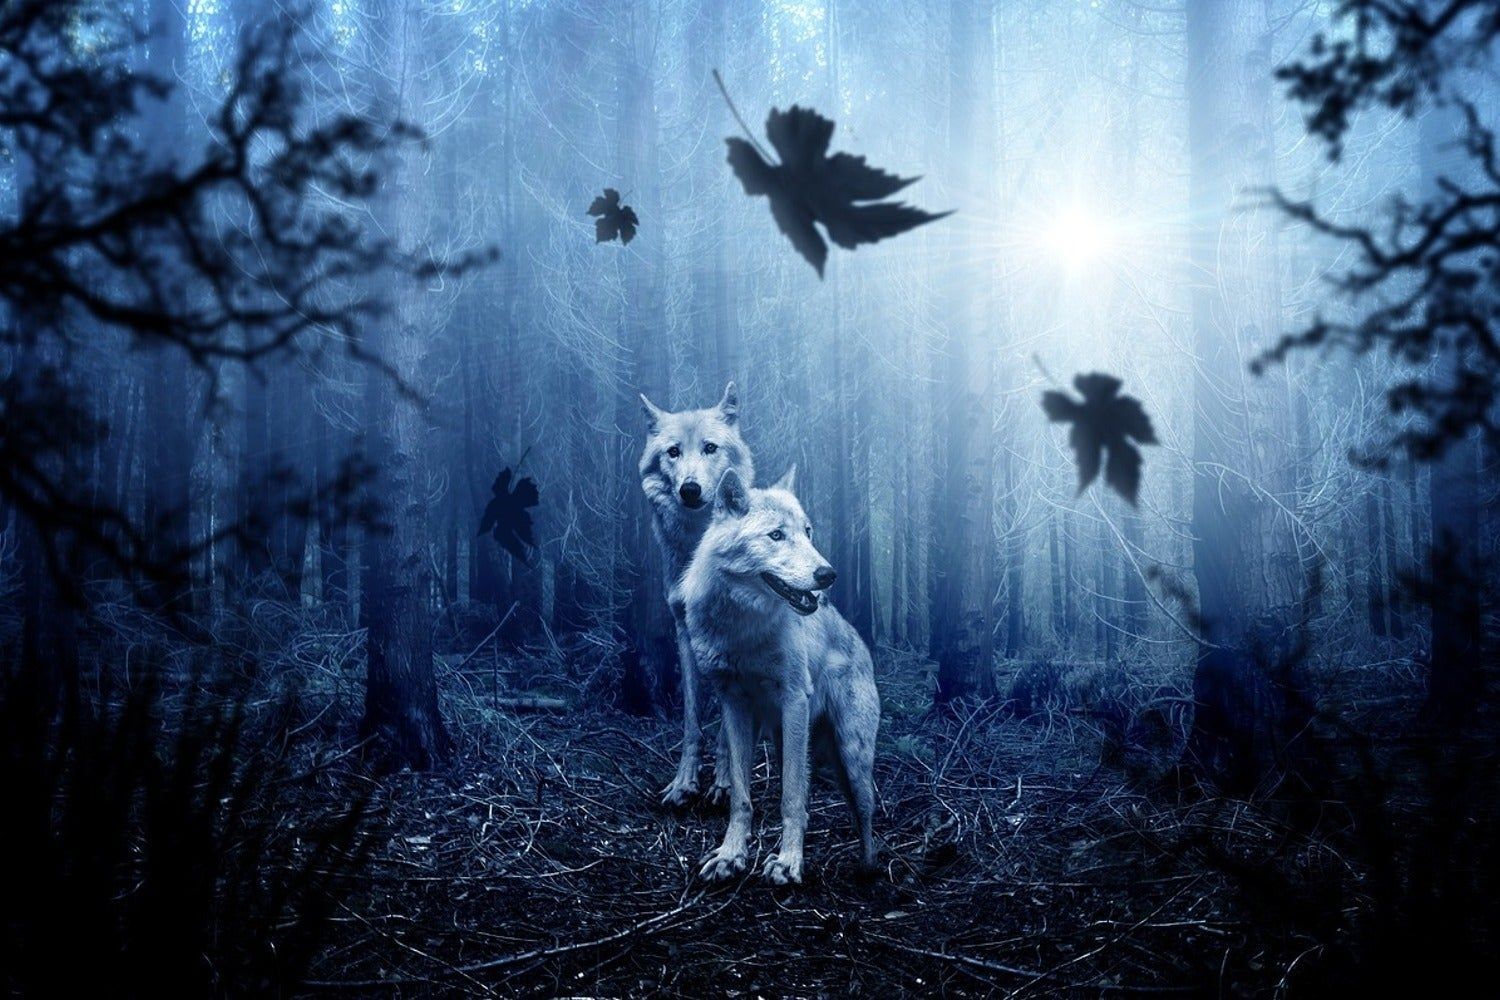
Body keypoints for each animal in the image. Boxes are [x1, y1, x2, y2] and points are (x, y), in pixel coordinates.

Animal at [639, 382, 755, 807]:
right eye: (673, 451)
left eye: (709, 447)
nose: (690, 489)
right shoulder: (684, 632)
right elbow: (692, 718)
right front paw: (683, 783)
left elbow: (726, 727)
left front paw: (724, 783)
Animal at [677, 466, 879, 884]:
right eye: (776, 535)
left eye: (808, 531)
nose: (828, 574)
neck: (742, 629)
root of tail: (861, 643)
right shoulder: (734, 704)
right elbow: (741, 795)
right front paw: (731, 855)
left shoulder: (794, 700)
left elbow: (790, 798)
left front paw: (788, 862)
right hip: (785, 739)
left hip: (851, 755)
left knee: (866, 812)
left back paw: (868, 869)